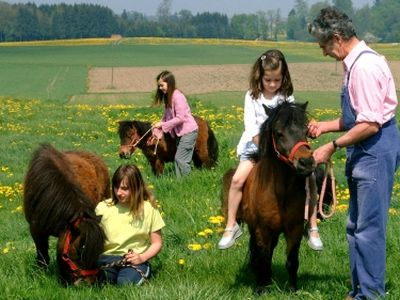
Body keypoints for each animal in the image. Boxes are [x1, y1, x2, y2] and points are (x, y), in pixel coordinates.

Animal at [222, 101, 316, 292]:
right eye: (279, 133)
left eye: (305, 131)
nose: (306, 163)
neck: (281, 192)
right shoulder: (262, 229)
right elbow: (263, 258)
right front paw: (260, 288)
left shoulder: (294, 229)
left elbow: (292, 261)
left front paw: (292, 289)